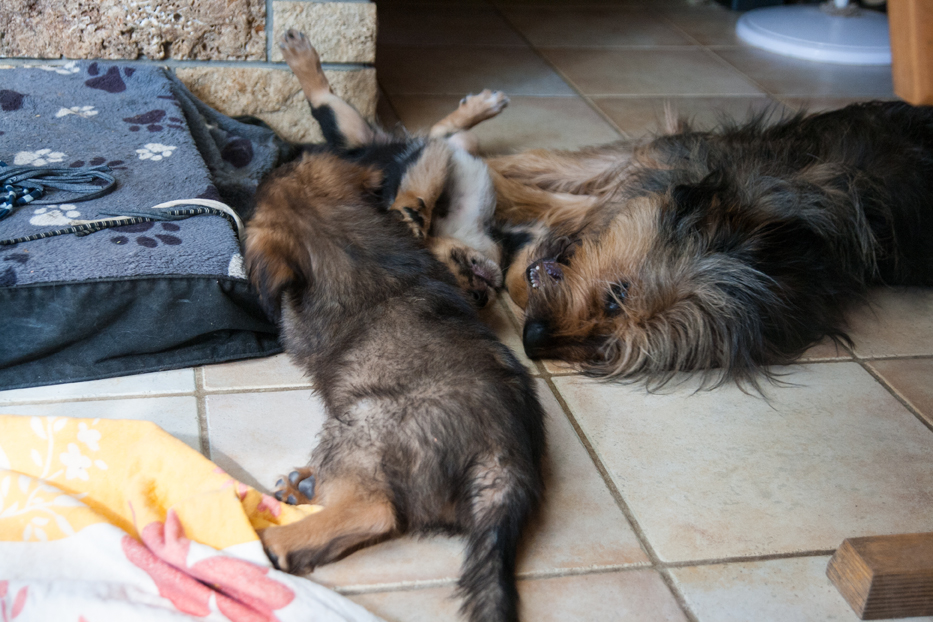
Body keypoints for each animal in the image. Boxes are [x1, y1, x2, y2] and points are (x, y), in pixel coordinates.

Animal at [245, 134, 545, 622]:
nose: (275, 158)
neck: (343, 238)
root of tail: (505, 460)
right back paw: (300, 488)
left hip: (363, 423)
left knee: (376, 510)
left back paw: (268, 541)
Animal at [277, 29, 515, 308]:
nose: (479, 296)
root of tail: (358, 151)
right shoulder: (419, 162)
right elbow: (421, 189)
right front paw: (410, 215)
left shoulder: (428, 155)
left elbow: (429, 171)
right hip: (355, 130)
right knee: (324, 99)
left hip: (376, 136)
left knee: (442, 132)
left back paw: (484, 105)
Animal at [487, 102, 933, 388]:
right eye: (617, 296)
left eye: (606, 348)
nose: (531, 339)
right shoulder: (661, 155)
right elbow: (545, 164)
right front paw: (481, 161)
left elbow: (557, 210)